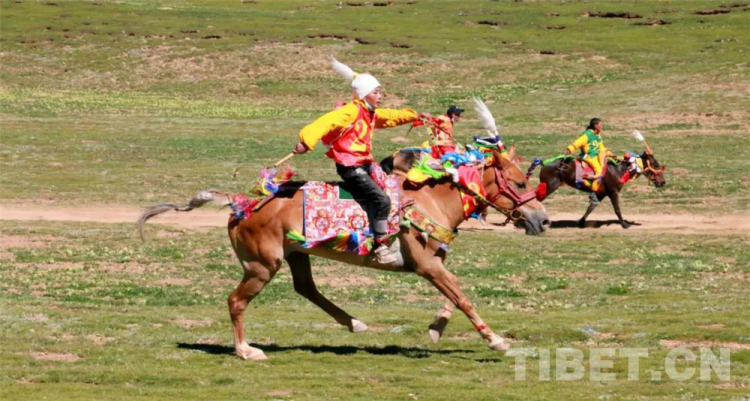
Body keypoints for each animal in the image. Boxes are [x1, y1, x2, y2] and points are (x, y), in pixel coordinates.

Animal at [532, 150, 668, 227]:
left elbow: (591, 207)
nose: (663, 182)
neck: (618, 170)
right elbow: (617, 209)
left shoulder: (602, 193)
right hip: (549, 186)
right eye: (655, 164)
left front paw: (581, 222)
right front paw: (624, 224)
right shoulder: (613, 192)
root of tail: (544, 163)